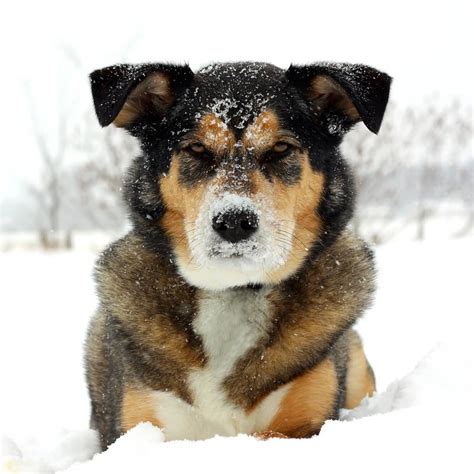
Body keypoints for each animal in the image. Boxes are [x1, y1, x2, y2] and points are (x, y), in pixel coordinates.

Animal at [86, 61, 392, 450]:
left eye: (281, 148)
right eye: (196, 148)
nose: (233, 222)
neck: (234, 291)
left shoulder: (305, 425)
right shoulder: (139, 425)